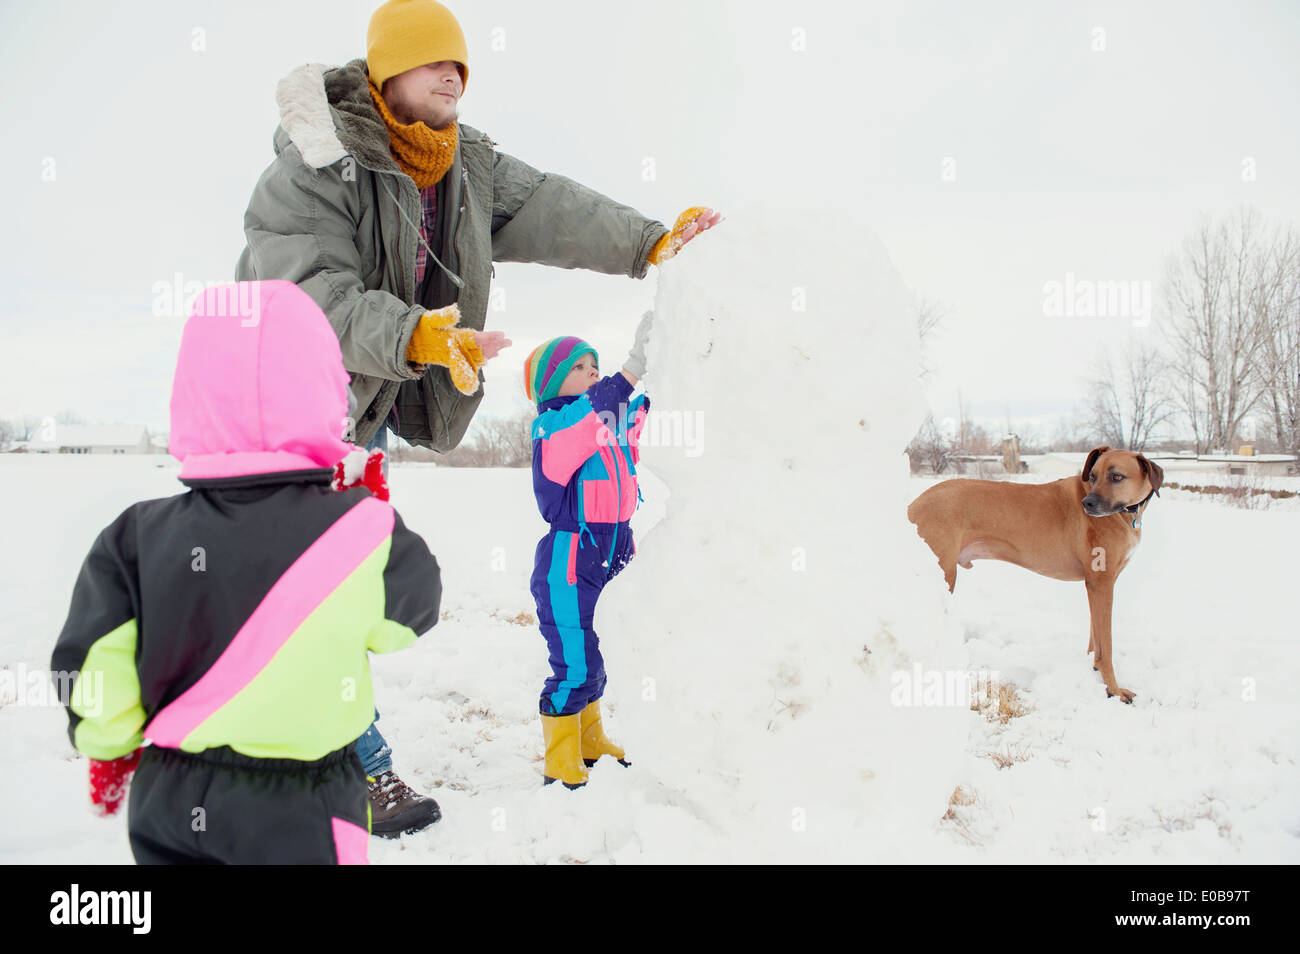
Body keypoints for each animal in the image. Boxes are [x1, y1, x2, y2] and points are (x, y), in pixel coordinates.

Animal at [909, 447, 1164, 701]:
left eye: (1116, 477)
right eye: (1093, 476)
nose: (1087, 503)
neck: (1125, 513)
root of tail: (914, 504)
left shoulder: (1098, 585)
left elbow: (1095, 637)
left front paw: (1095, 672)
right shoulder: (1102, 583)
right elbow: (1107, 645)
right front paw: (1114, 689)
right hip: (942, 575)